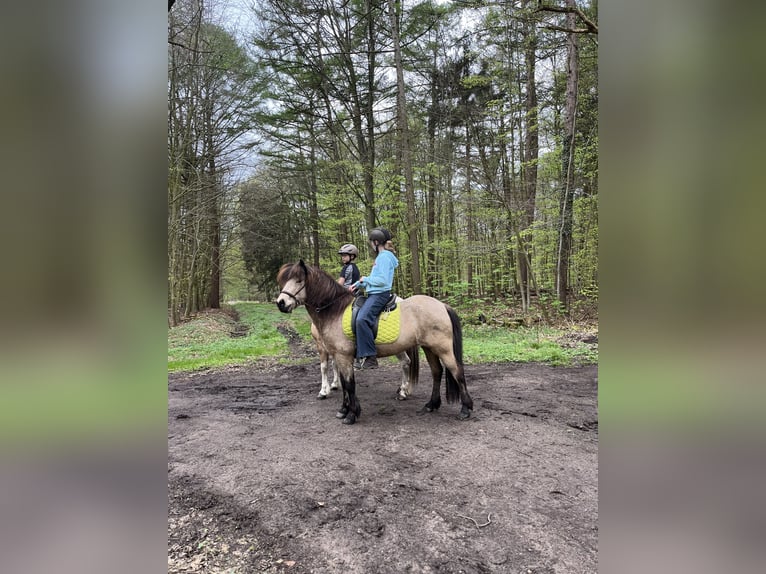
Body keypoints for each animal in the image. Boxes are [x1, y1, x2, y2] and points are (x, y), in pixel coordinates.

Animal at [272, 264, 472, 426]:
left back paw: (466, 409)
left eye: (299, 280)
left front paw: (351, 414)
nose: (281, 303)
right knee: (436, 372)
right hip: (429, 348)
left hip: (443, 348)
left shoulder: (342, 355)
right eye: (284, 280)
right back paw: (431, 404)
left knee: (457, 372)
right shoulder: (338, 355)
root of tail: (442, 305)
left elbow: (349, 384)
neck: (334, 310)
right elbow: (344, 383)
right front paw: (343, 409)